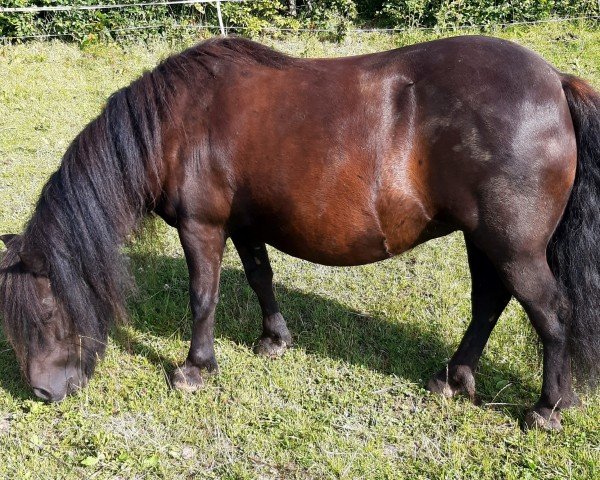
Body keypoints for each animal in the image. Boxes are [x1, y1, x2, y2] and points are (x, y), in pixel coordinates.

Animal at [1, 34, 600, 432]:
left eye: (46, 313)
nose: (42, 392)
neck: (174, 125)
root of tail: (554, 80)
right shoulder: (243, 225)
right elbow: (260, 278)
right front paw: (273, 340)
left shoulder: (203, 227)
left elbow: (203, 296)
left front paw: (195, 369)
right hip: (484, 239)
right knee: (490, 302)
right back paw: (454, 378)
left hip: (513, 247)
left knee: (551, 312)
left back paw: (548, 408)